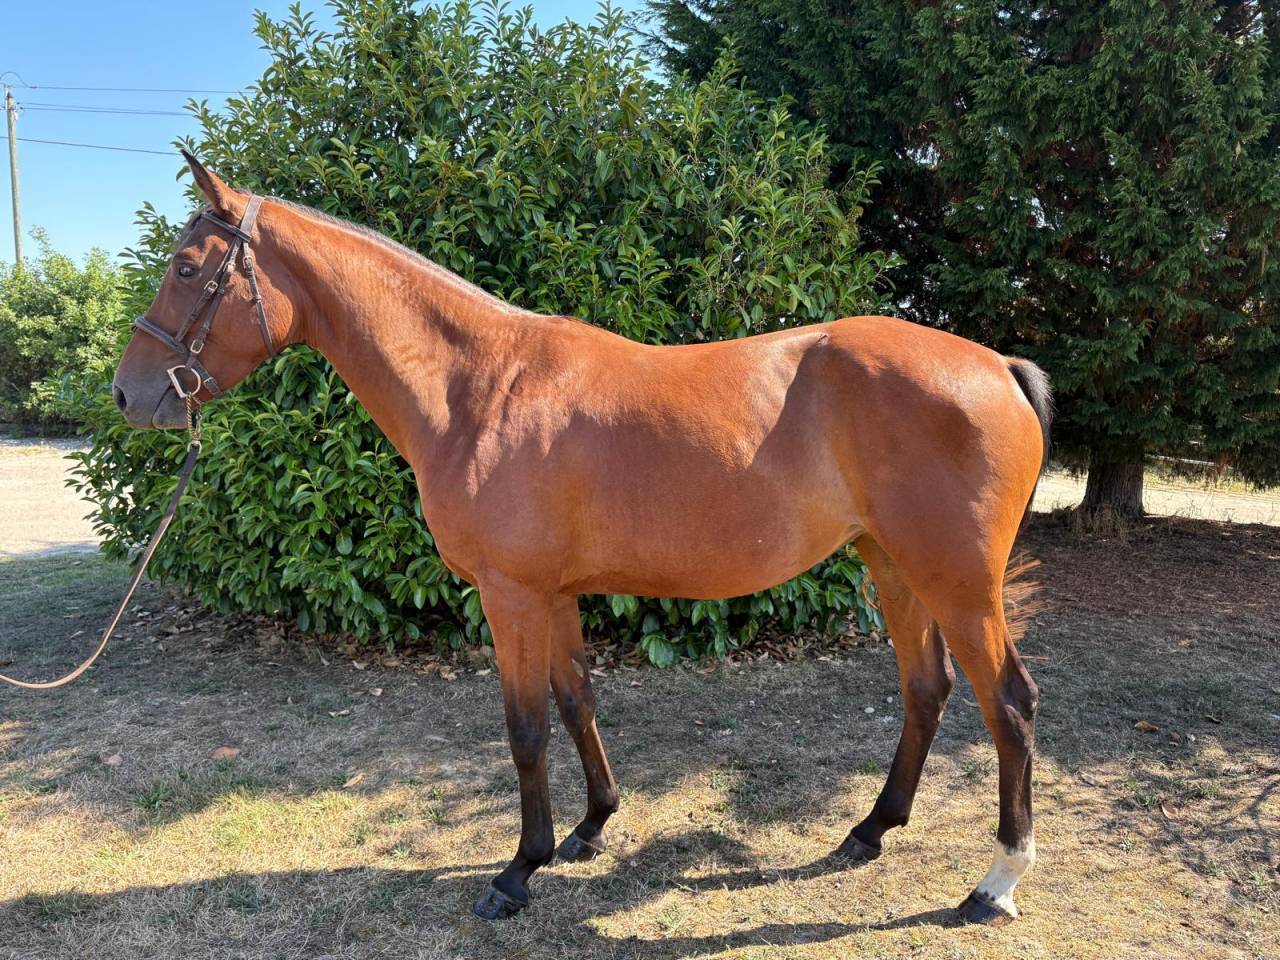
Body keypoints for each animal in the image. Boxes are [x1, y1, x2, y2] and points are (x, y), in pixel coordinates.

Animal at [111, 152, 1052, 926]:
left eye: (187, 268)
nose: (128, 395)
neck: (478, 386)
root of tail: (997, 367)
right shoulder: (553, 594)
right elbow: (577, 703)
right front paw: (591, 827)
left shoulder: (511, 596)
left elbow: (525, 727)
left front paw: (517, 871)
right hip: (892, 565)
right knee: (926, 689)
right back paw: (869, 831)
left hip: (958, 583)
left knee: (1008, 704)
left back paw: (995, 883)